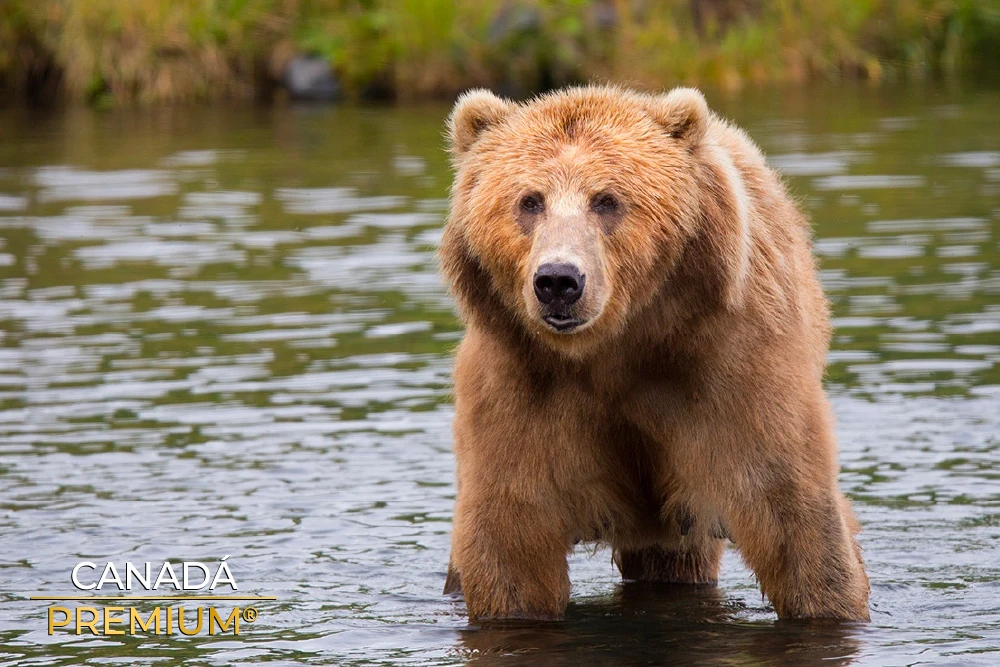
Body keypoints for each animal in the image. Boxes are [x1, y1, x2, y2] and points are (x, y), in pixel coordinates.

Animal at [438, 86, 868, 624]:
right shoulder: (521, 384)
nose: (558, 280)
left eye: (606, 200)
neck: (617, 347)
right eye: (529, 201)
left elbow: (791, 510)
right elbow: (511, 537)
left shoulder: (729, 368)